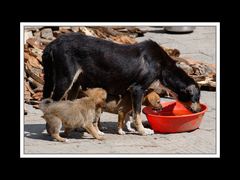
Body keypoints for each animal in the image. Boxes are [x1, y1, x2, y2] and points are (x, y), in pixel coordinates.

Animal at [41, 33, 201, 136]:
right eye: (197, 98)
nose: (199, 109)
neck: (163, 66)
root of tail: (53, 44)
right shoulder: (137, 89)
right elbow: (137, 114)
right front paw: (142, 131)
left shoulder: (130, 92)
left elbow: (129, 114)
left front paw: (129, 129)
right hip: (64, 80)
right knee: (52, 103)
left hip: (75, 83)